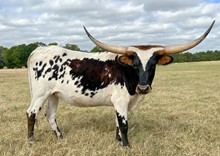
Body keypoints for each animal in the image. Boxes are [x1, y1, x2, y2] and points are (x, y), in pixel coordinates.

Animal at [27, 20, 215, 146]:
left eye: (153, 64)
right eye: (135, 64)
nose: (143, 87)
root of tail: (39, 49)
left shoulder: (121, 102)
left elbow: (117, 123)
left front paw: (118, 142)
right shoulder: (120, 100)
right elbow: (124, 124)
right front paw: (126, 146)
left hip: (54, 94)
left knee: (50, 115)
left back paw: (61, 138)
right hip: (40, 94)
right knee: (32, 113)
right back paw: (31, 142)